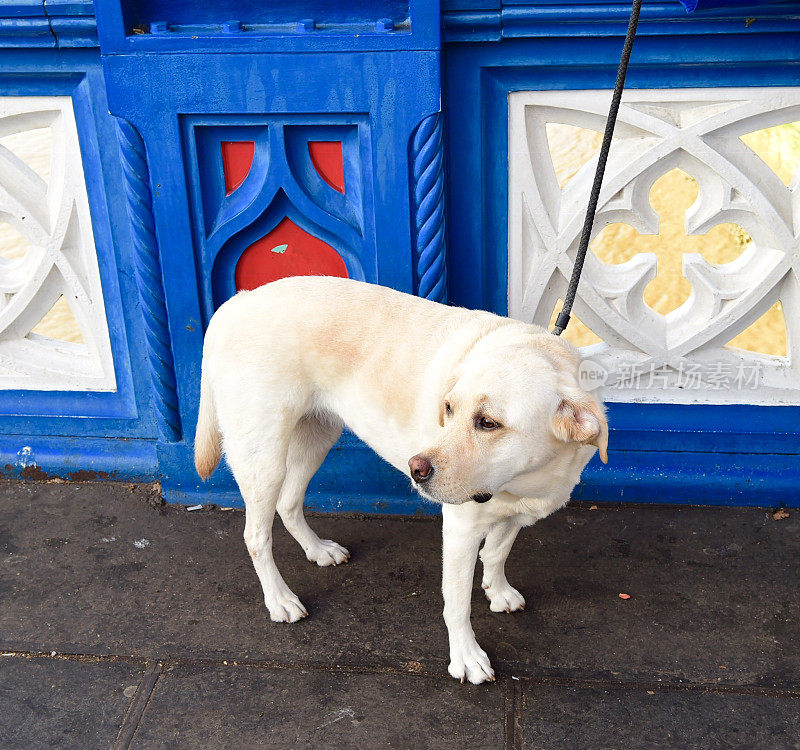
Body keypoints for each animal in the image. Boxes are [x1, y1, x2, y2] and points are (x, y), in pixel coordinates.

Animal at [194, 276, 608, 688]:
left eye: (488, 423)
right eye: (448, 409)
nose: (416, 469)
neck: (525, 481)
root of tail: (239, 301)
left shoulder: (513, 511)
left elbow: (496, 553)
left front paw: (498, 591)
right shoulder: (461, 527)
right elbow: (456, 603)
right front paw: (466, 657)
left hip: (318, 436)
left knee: (289, 502)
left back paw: (317, 550)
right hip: (262, 458)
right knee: (256, 537)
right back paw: (279, 599)